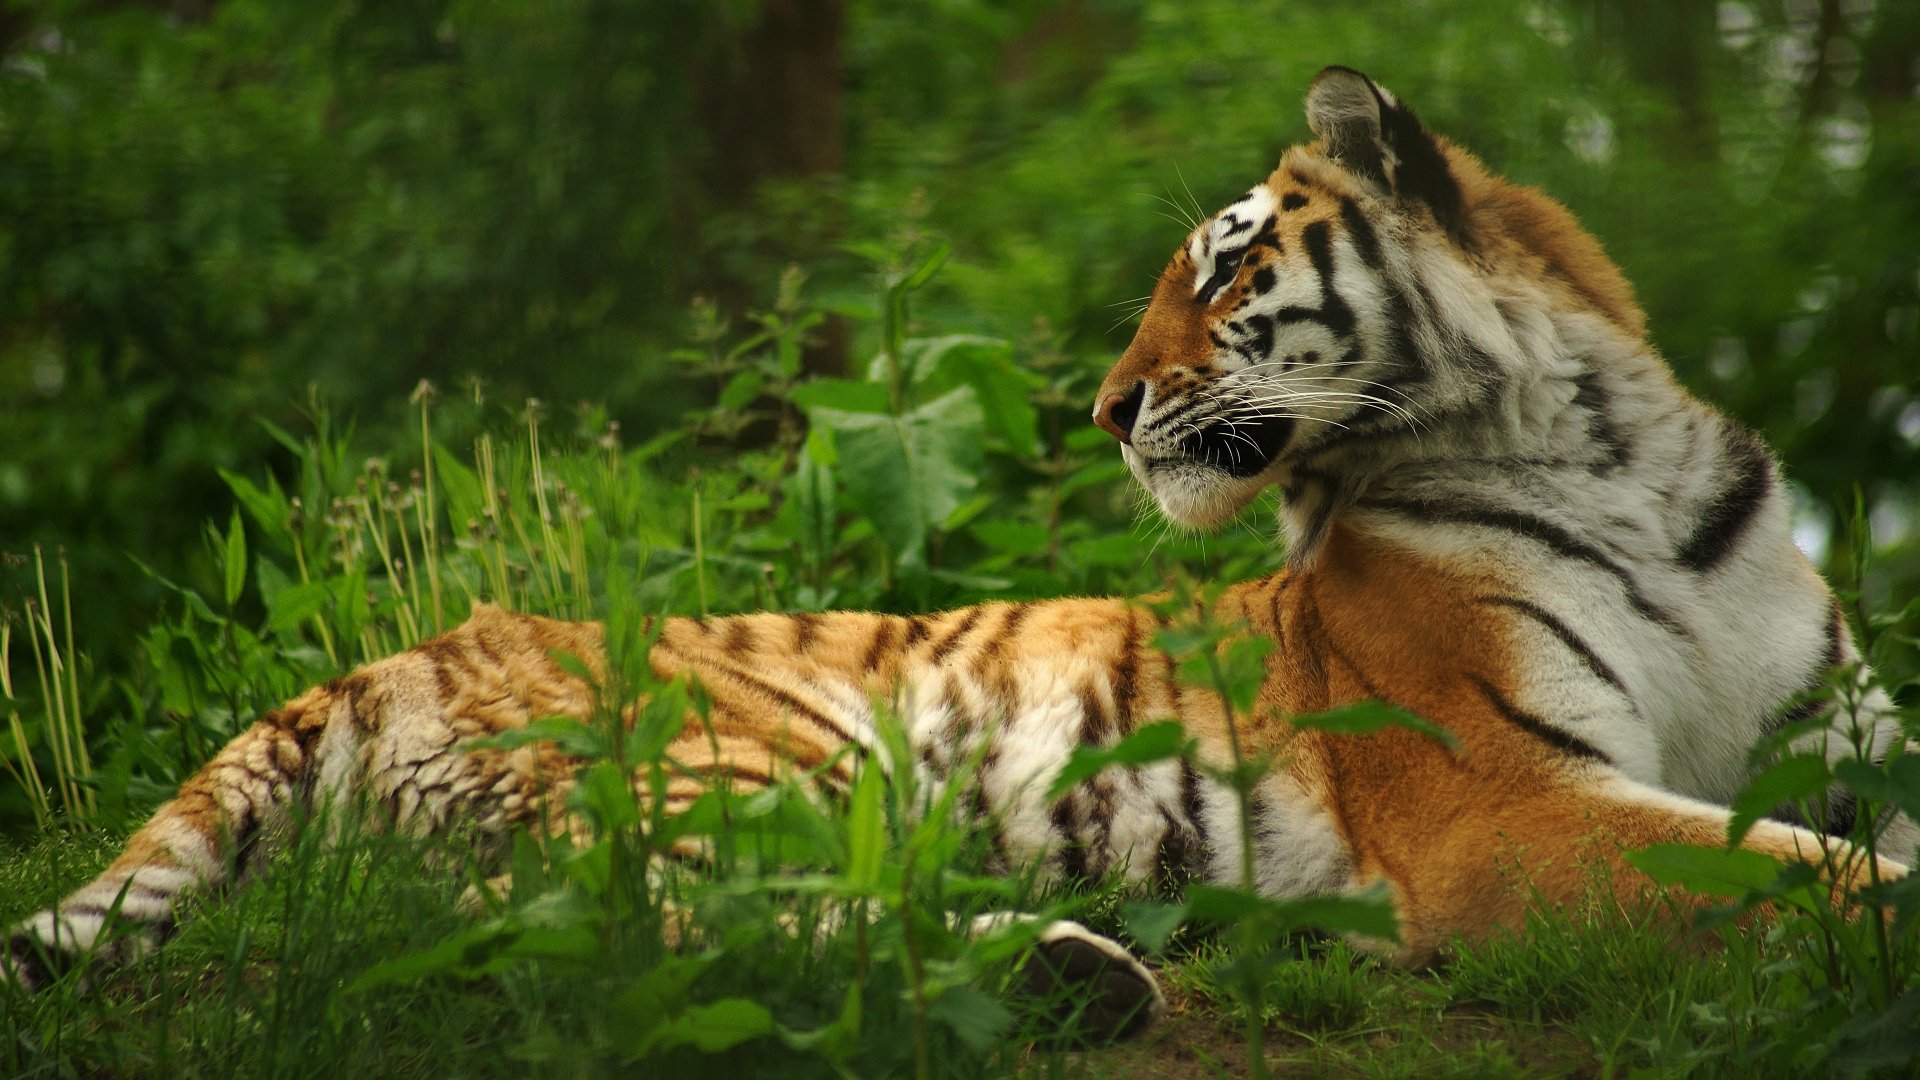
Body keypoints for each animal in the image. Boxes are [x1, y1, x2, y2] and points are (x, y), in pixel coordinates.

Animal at [6, 66, 1915, 1042]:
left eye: (1227, 269)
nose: (1107, 406)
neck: (1610, 458)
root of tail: (397, 651)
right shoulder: (1501, 798)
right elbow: (1809, 879)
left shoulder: (1837, 736)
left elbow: (1847, 842)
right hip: (744, 763)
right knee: (591, 935)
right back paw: (1082, 979)